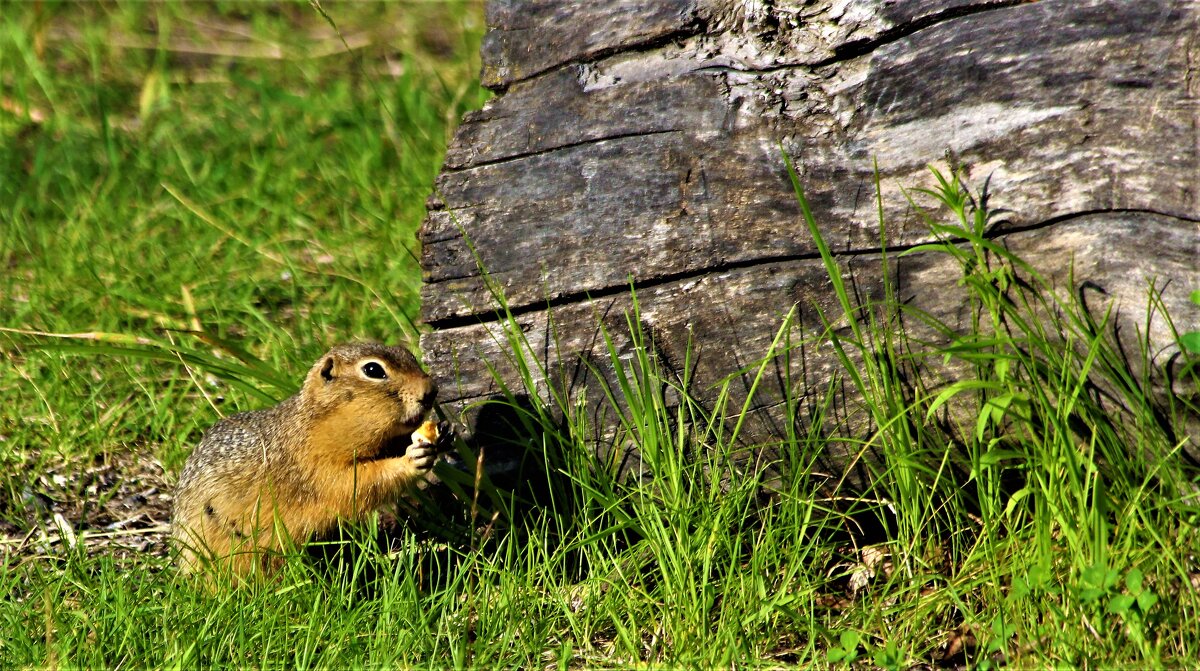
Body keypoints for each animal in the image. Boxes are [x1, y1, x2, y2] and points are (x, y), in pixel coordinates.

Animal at [171, 343, 448, 580]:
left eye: (408, 354)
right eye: (373, 370)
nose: (431, 390)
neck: (314, 423)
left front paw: (443, 434)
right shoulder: (316, 468)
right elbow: (358, 482)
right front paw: (412, 459)